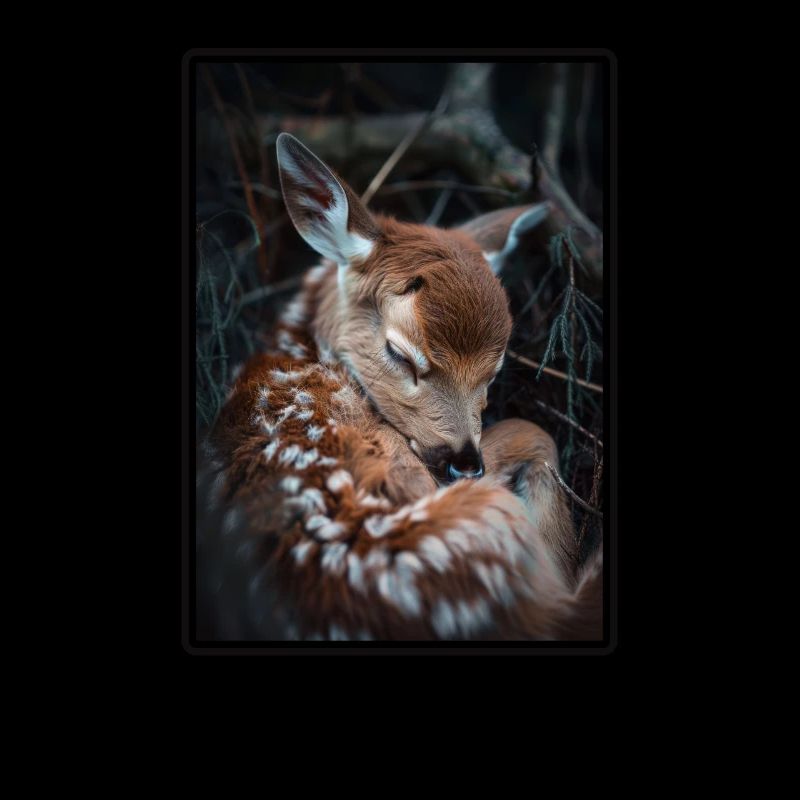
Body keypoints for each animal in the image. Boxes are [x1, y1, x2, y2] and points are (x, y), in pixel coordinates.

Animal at [197, 132, 603, 642]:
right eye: (399, 354)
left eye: (494, 370)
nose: (464, 462)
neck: (300, 348)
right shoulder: (407, 464)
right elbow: (532, 430)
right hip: (483, 519)